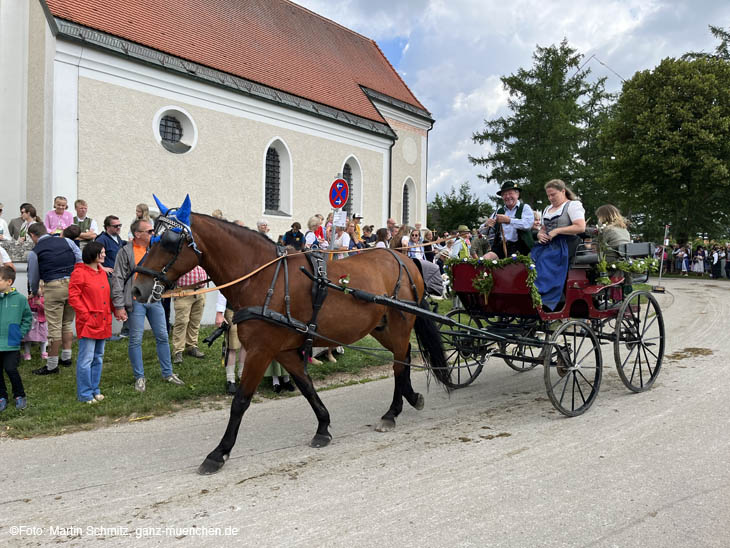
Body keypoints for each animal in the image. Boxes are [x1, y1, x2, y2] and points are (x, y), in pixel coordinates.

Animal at [132, 197, 450, 476]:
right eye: (150, 239)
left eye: (169, 242)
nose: (137, 288)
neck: (261, 277)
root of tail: (403, 259)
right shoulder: (282, 350)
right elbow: (306, 387)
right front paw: (323, 427)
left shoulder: (261, 350)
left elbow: (241, 401)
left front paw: (219, 453)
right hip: (381, 327)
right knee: (402, 358)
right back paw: (408, 398)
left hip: (399, 325)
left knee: (399, 362)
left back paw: (393, 411)